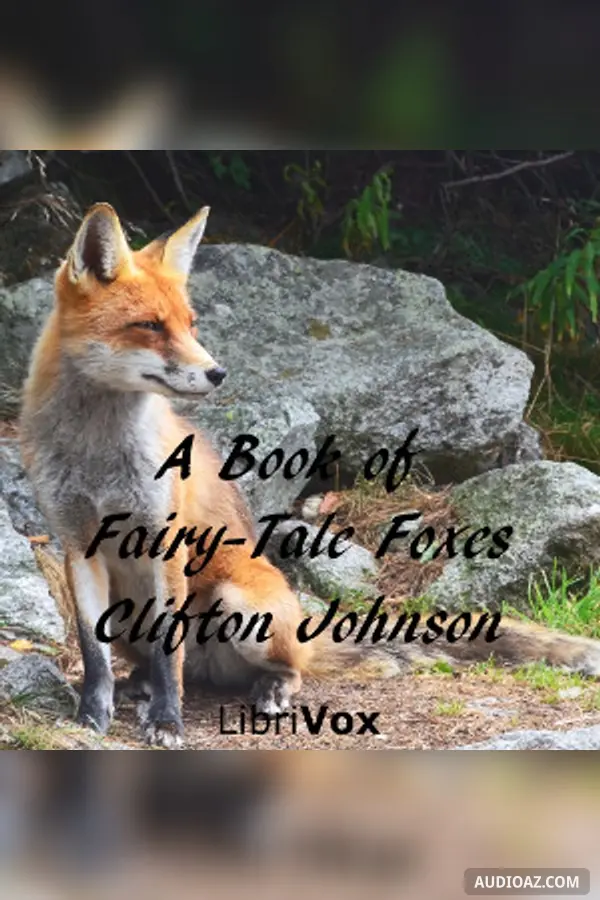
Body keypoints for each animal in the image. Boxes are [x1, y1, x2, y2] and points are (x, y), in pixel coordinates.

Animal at [19, 202, 600, 749]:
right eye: (150, 326)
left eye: (191, 322)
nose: (218, 372)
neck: (97, 455)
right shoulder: (77, 545)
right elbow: (93, 655)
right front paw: (91, 716)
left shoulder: (166, 543)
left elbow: (169, 658)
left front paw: (167, 722)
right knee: (168, 666)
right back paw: (137, 685)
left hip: (241, 603)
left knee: (279, 669)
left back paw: (268, 690)